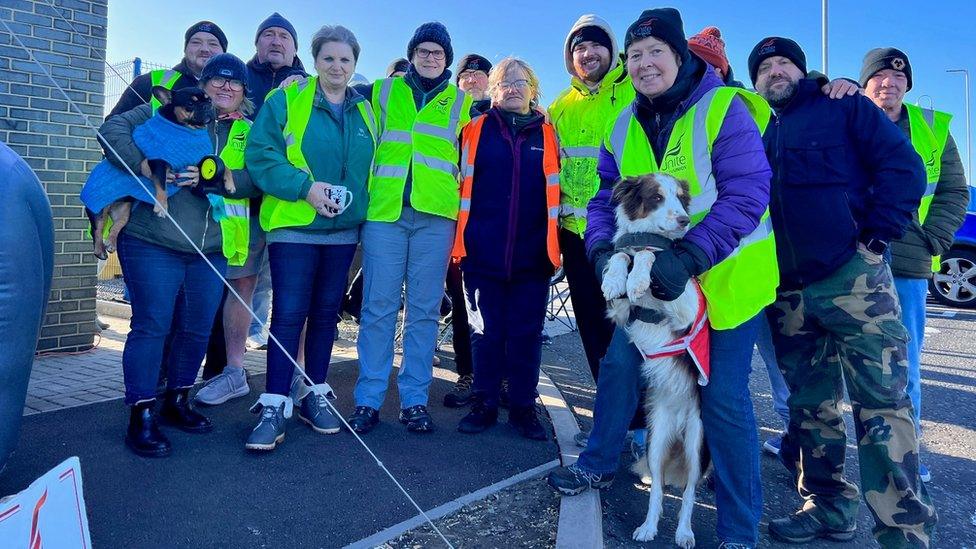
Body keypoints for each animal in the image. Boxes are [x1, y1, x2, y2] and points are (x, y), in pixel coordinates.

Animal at [88, 84, 216, 258]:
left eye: (209, 100)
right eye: (190, 103)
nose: (208, 106)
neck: (183, 127)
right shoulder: (158, 163)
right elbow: (162, 188)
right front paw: (162, 207)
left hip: (125, 211)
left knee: (116, 226)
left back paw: (112, 242)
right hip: (100, 208)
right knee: (97, 229)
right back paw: (100, 250)